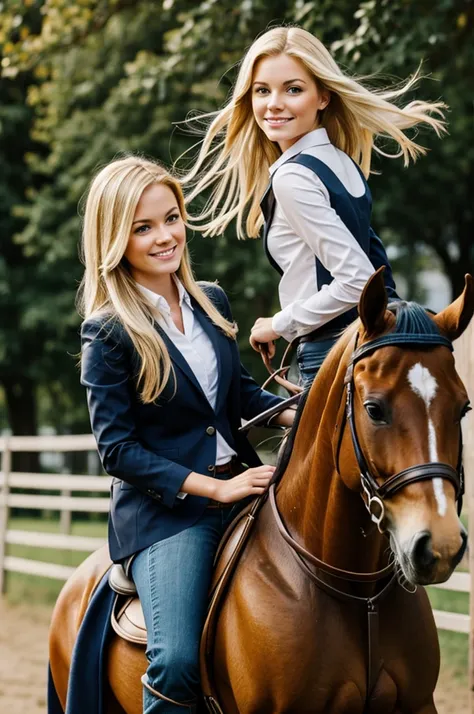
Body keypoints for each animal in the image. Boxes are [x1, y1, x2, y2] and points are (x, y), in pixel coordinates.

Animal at [50, 268, 472, 712]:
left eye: (463, 407)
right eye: (374, 409)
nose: (440, 545)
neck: (358, 591)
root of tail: (80, 578)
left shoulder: (419, 703)